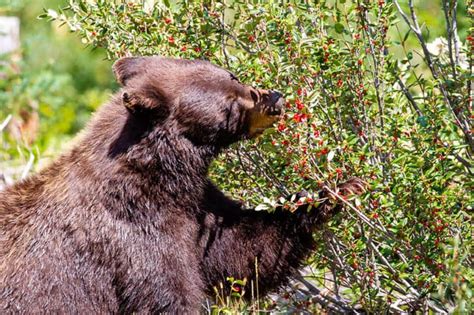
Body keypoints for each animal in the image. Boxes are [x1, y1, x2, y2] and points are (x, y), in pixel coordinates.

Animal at [0, 56, 362, 314]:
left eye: (232, 75)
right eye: (229, 98)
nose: (274, 97)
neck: (161, 180)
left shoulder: (196, 210)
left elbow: (246, 249)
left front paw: (333, 192)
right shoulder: (137, 238)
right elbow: (169, 292)